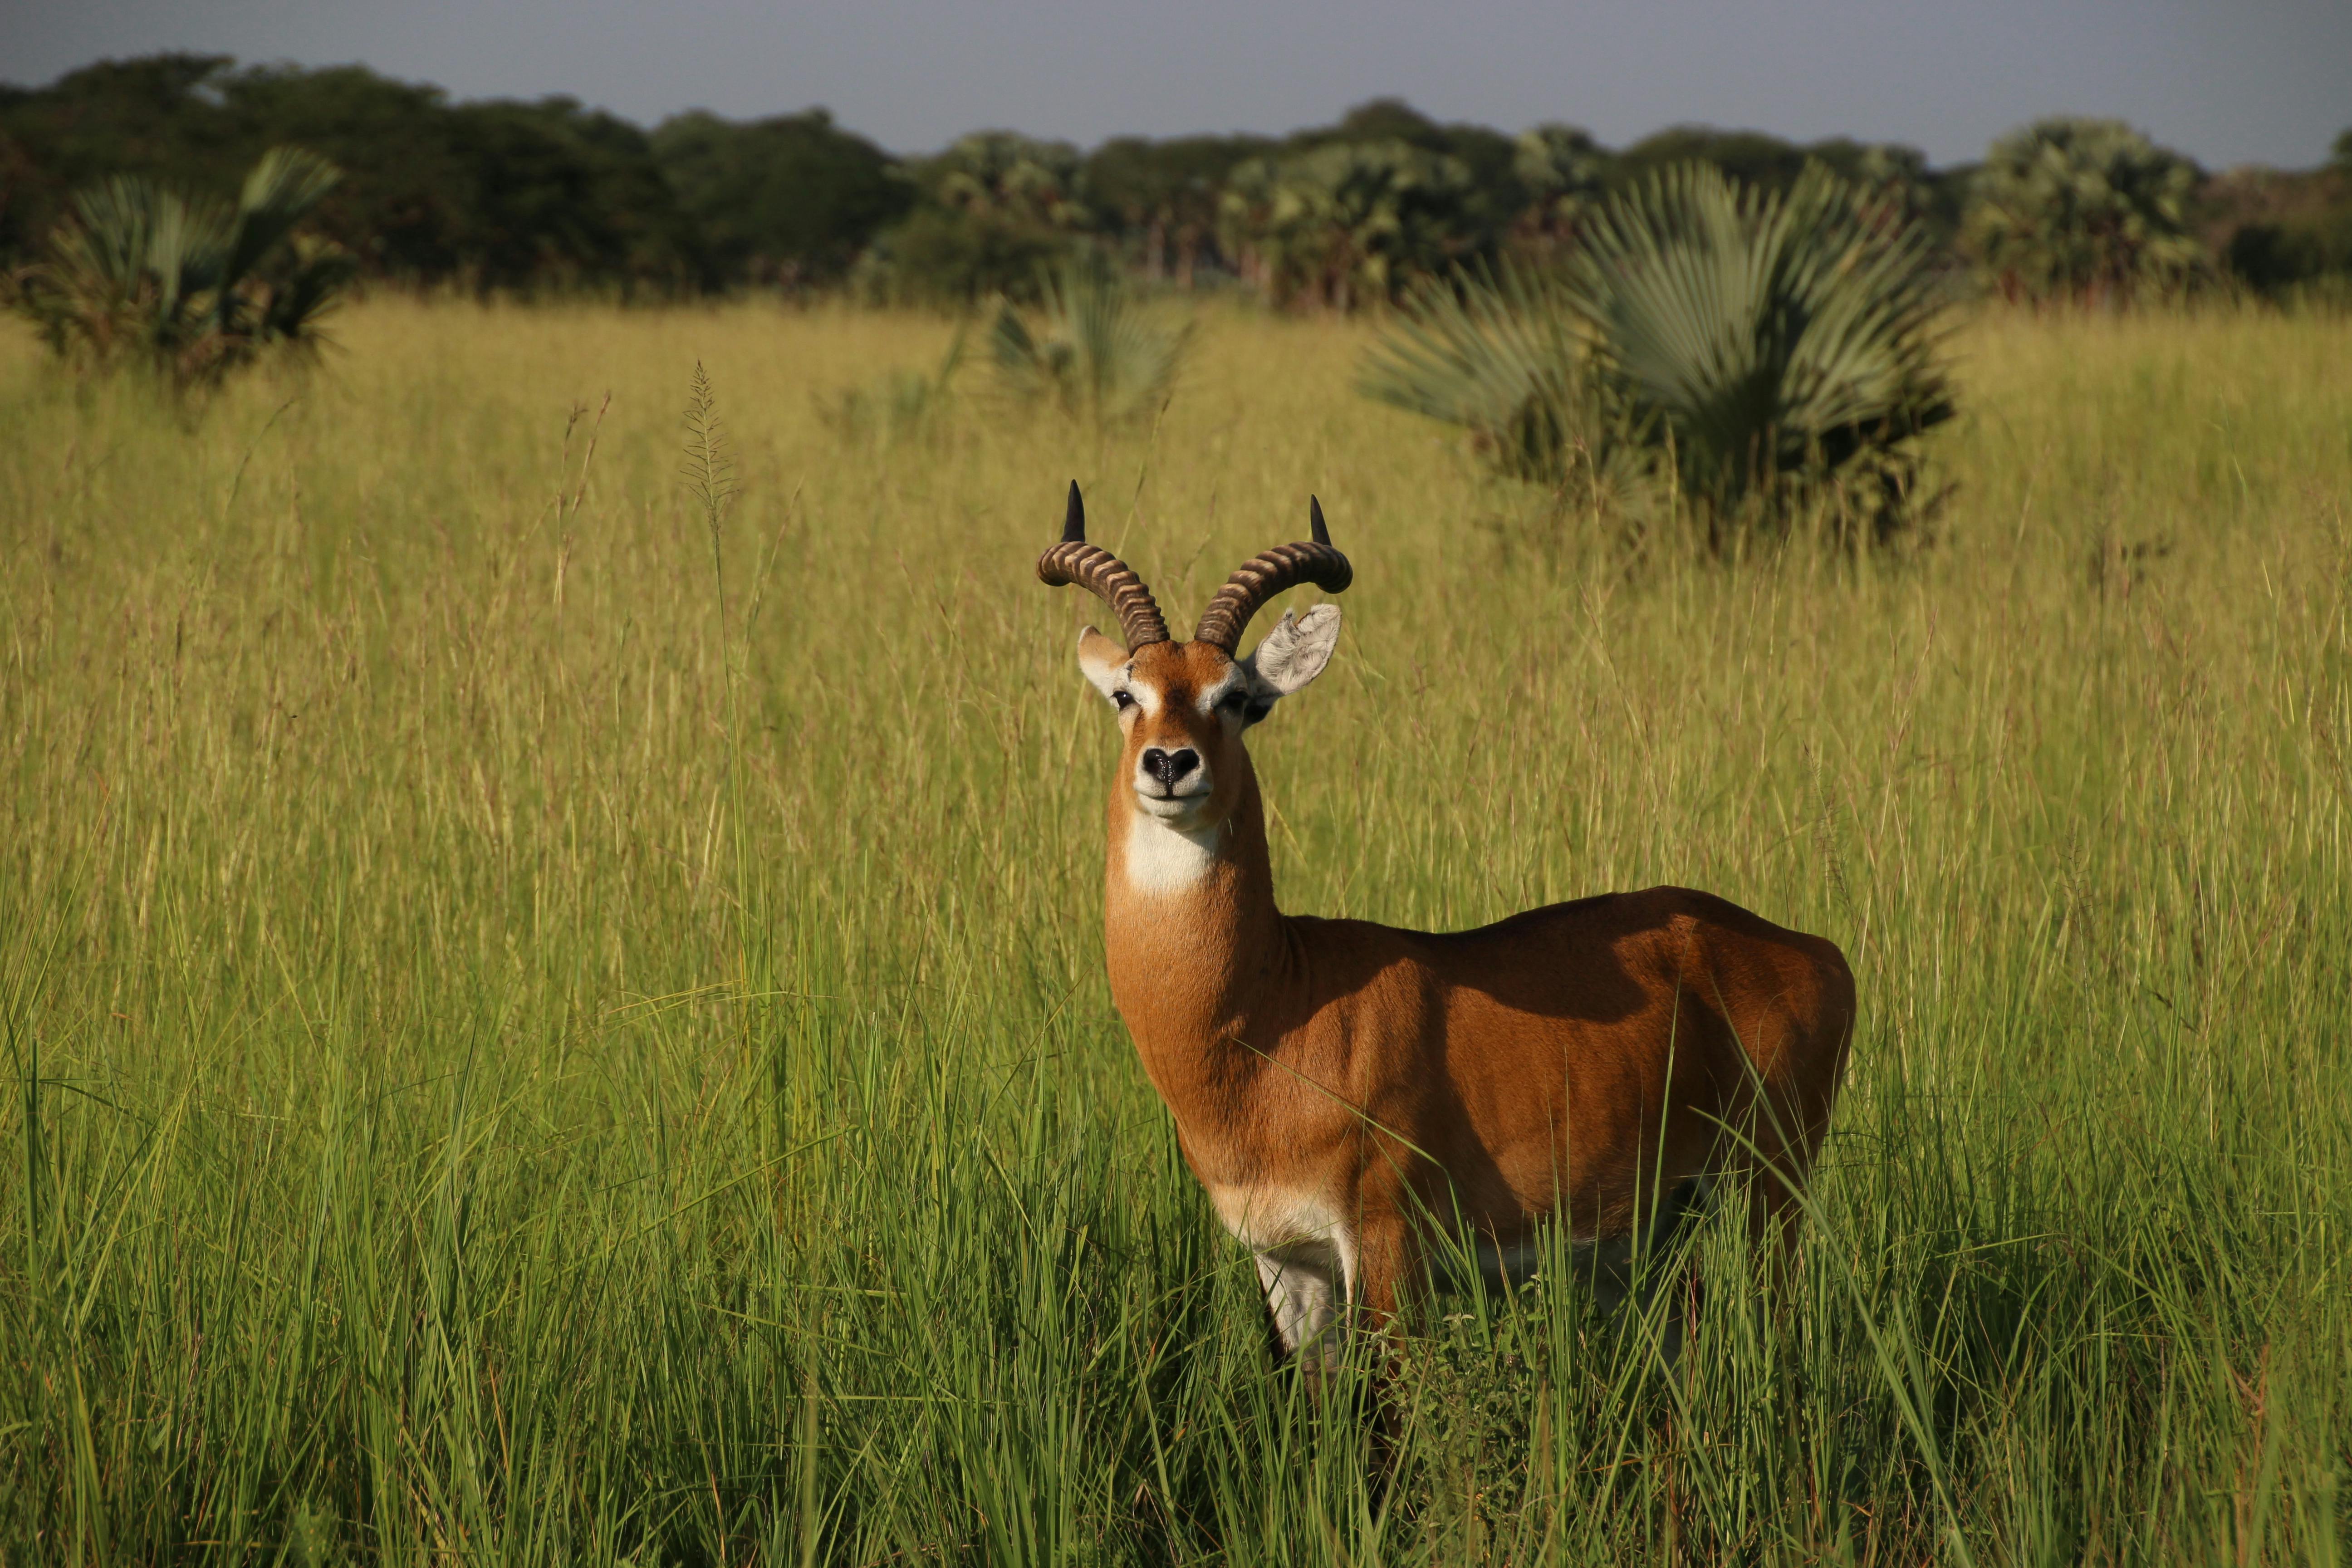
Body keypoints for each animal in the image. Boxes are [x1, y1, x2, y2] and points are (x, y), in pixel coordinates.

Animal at [1040, 484, 1854, 1370]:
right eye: (1127, 693)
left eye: (1237, 699)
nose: (1168, 763)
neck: (1269, 1019)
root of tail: (1816, 952)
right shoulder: (1289, 1265)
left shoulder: (1389, 1248)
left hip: (1766, 1198)